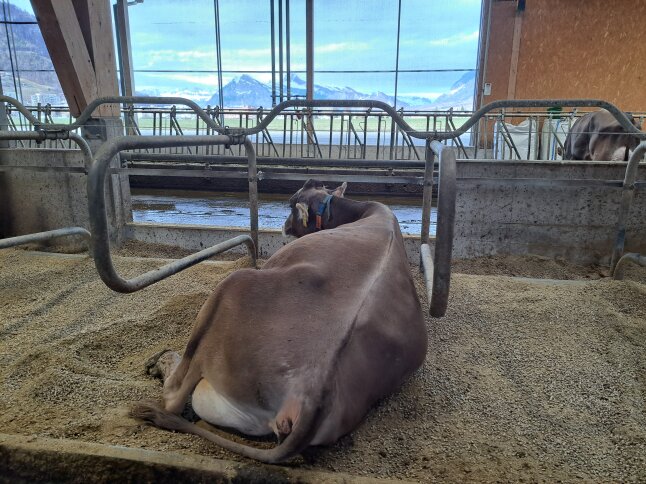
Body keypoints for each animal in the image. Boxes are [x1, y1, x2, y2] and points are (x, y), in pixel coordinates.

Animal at [130, 180, 430, 464]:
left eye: (290, 205)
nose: (284, 226)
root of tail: (310, 390)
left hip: (233, 288)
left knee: (174, 398)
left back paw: (160, 363)